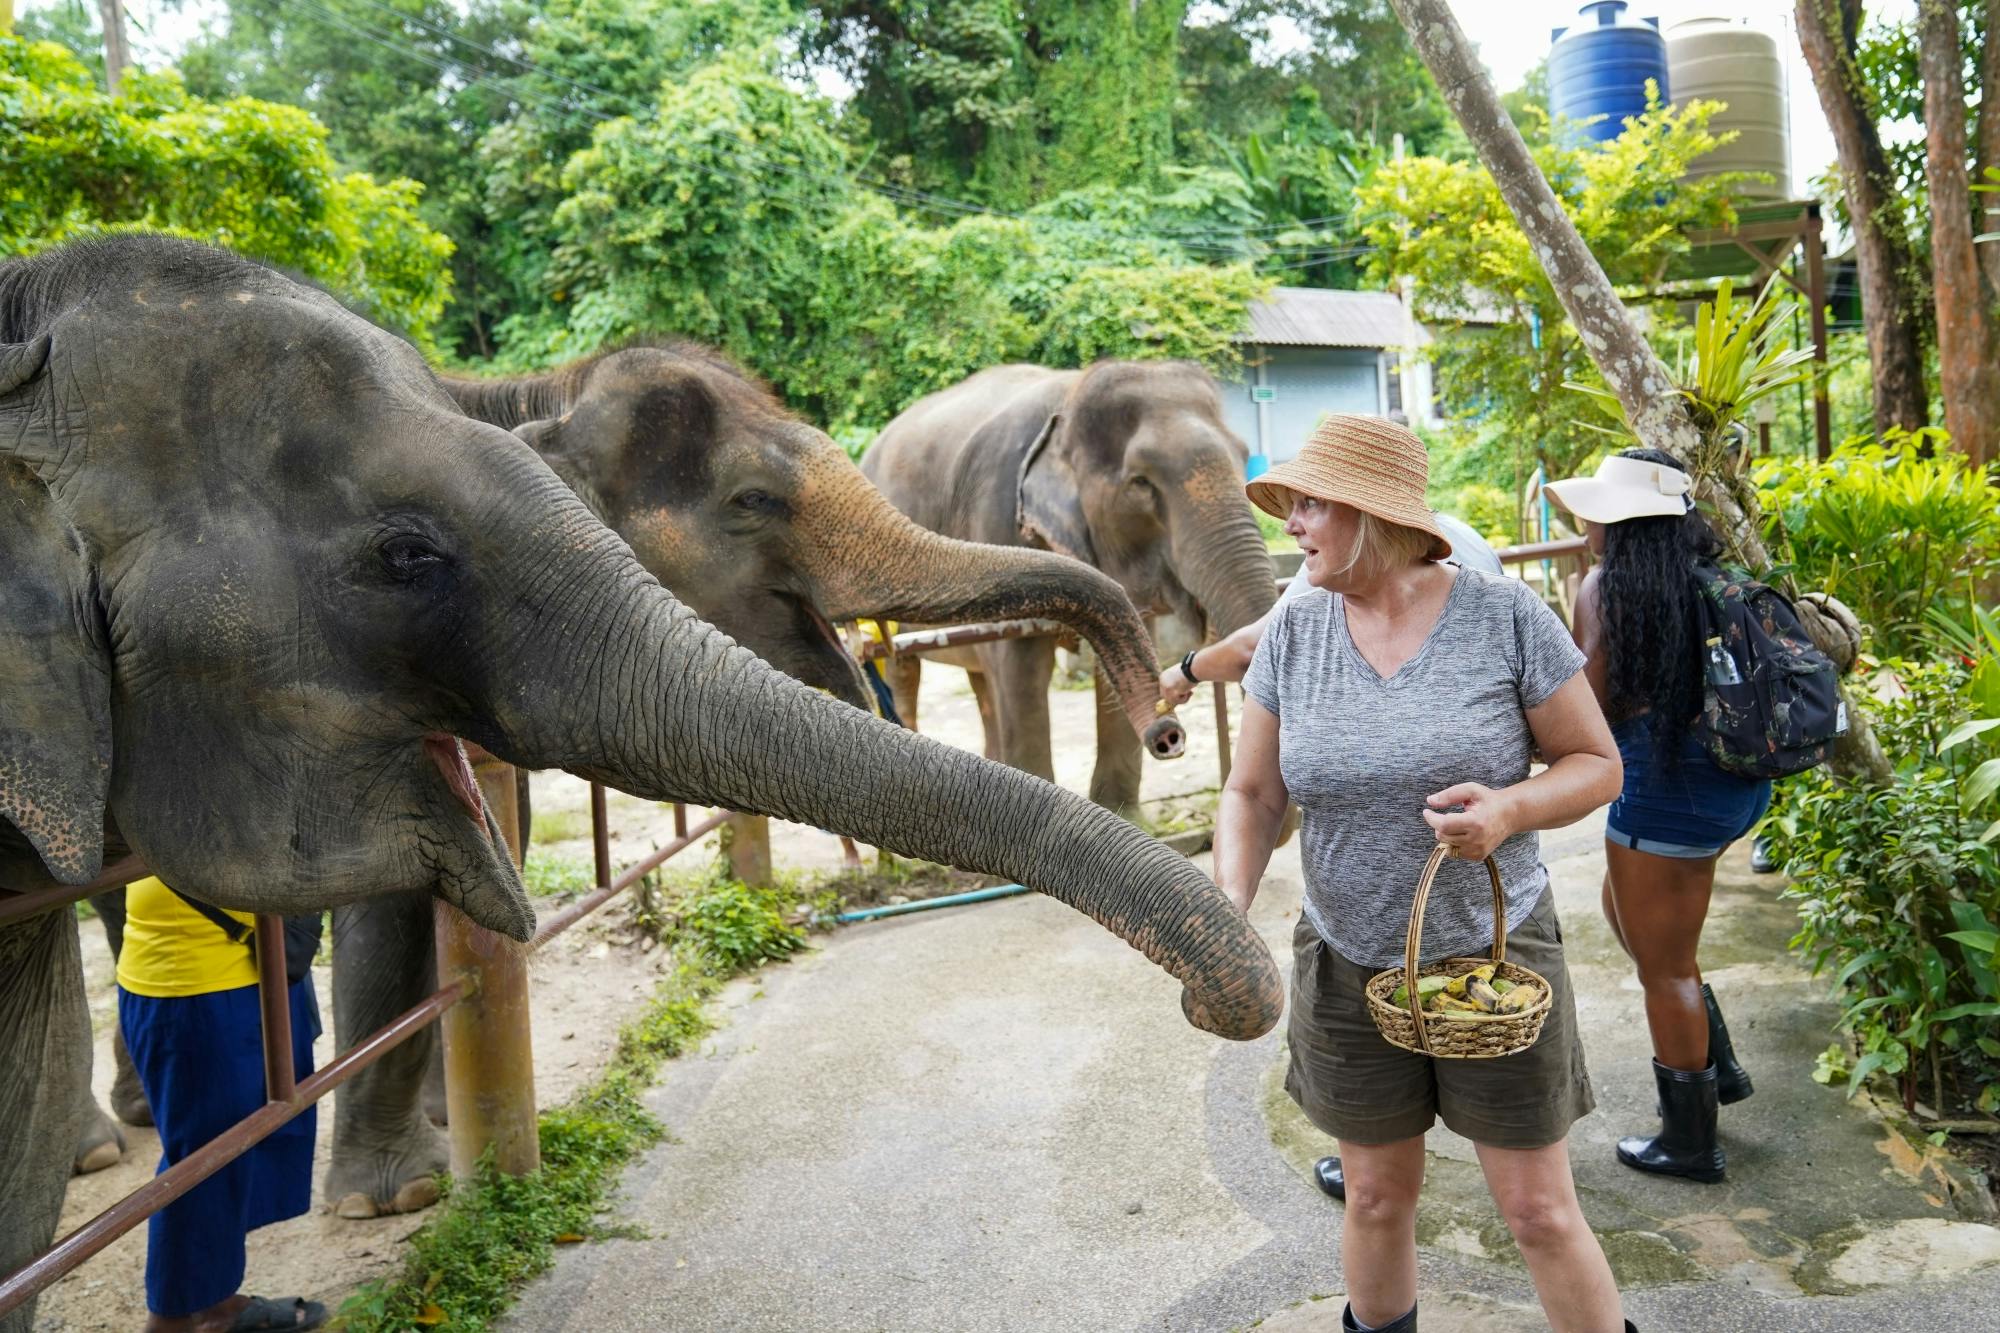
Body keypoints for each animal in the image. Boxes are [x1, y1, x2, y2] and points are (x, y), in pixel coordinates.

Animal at [860, 358, 1280, 804]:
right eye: (1140, 482)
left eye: (1244, 457)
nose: (1168, 733)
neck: (1069, 396)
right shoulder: (995, 517)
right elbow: (1021, 673)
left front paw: (1121, 812)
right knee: (905, 672)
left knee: (981, 684)